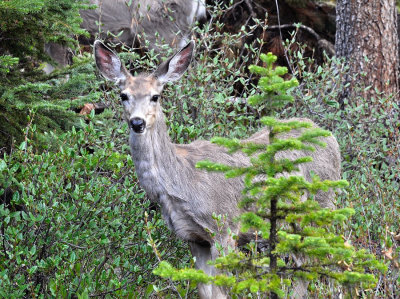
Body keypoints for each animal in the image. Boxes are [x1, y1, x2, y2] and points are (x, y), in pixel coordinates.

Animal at [93, 39, 340, 299]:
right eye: (123, 95)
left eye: (155, 96)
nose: (137, 123)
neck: (179, 183)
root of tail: (329, 136)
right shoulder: (195, 238)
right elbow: (204, 289)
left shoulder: (225, 227)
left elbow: (221, 290)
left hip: (321, 206)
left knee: (321, 259)